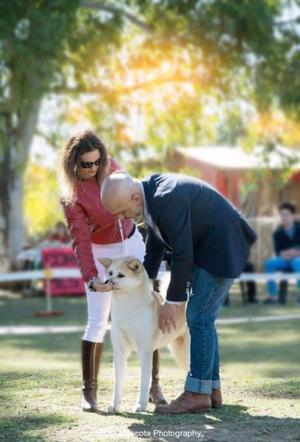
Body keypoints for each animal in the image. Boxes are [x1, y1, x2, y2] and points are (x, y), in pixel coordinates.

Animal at [99, 258, 189, 412]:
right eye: (110, 273)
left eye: (121, 275)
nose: (106, 282)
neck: (128, 308)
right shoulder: (120, 351)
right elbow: (118, 381)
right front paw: (114, 405)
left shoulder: (145, 351)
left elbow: (144, 380)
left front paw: (141, 405)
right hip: (179, 353)